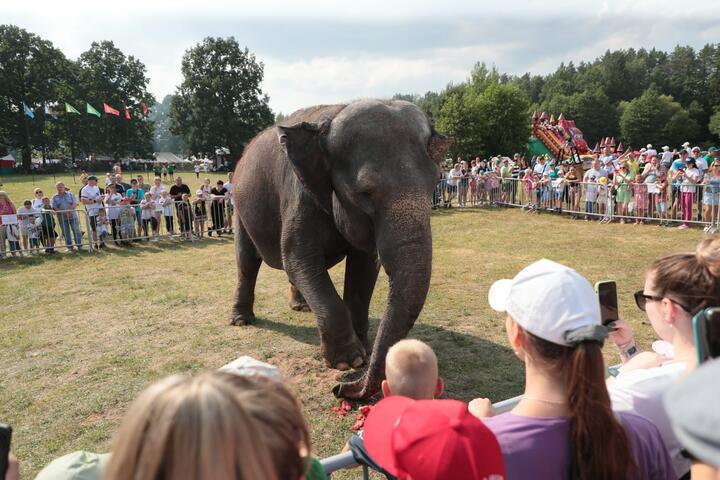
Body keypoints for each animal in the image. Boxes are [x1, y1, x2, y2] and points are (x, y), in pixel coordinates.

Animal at [232, 98, 450, 398]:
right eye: (365, 193)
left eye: (435, 184)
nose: (341, 389)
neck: (333, 116)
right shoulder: (299, 196)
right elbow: (298, 258)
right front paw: (349, 361)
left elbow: (364, 266)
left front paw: (363, 351)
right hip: (238, 207)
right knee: (247, 262)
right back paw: (241, 320)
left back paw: (301, 306)